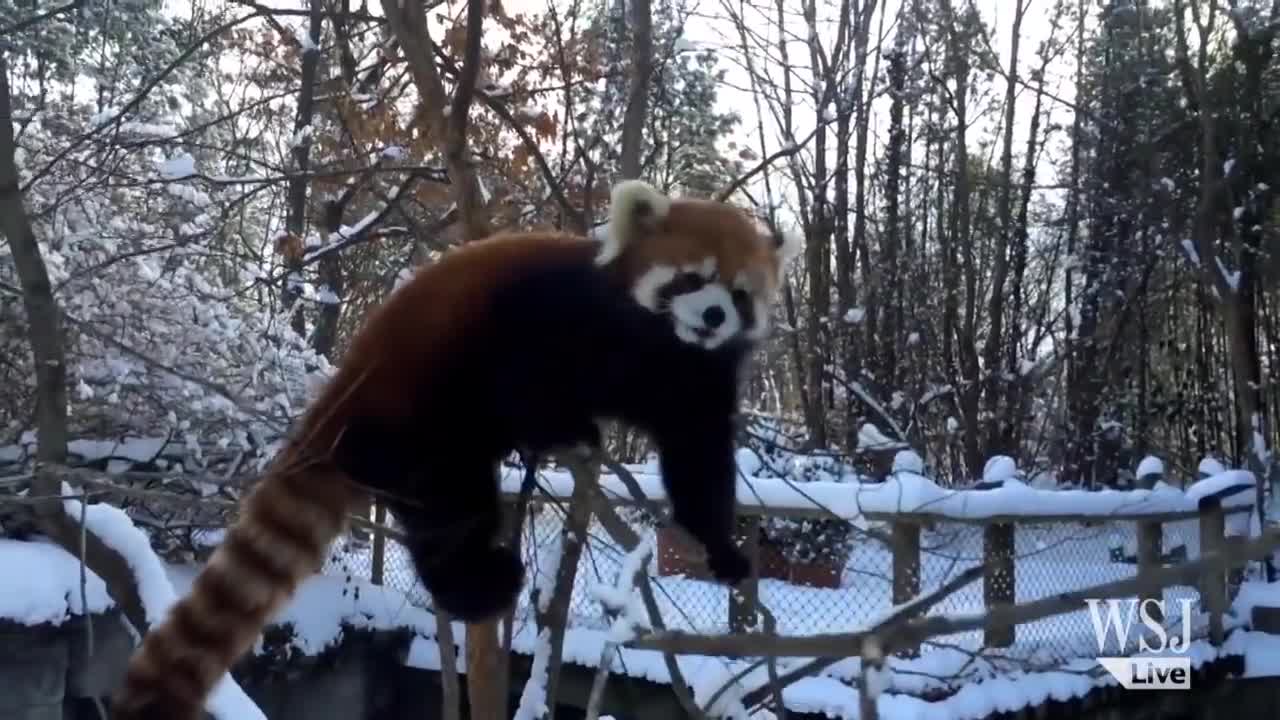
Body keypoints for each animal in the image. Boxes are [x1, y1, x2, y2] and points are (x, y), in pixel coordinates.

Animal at [112, 179, 798, 717]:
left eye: (741, 293)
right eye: (692, 279)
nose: (713, 316)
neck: (659, 346)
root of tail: (339, 401)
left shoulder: (694, 381)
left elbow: (698, 461)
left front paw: (722, 547)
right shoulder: (552, 320)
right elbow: (529, 386)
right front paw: (571, 431)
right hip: (420, 419)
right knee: (449, 513)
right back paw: (476, 585)